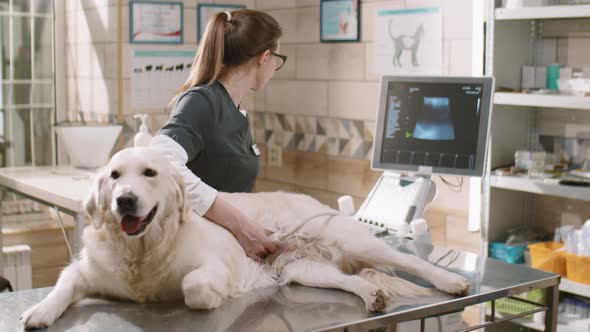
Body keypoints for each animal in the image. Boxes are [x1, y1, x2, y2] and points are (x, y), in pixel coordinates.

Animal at [19, 147, 472, 330]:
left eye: (149, 173)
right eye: (114, 176)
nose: (124, 201)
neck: (142, 250)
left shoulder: (213, 265)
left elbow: (194, 286)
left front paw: (212, 297)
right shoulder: (85, 271)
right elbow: (63, 285)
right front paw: (40, 311)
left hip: (351, 240)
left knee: (409, 261)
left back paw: (451, 281)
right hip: (306, 269)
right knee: (352, 280)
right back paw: (371, 295)